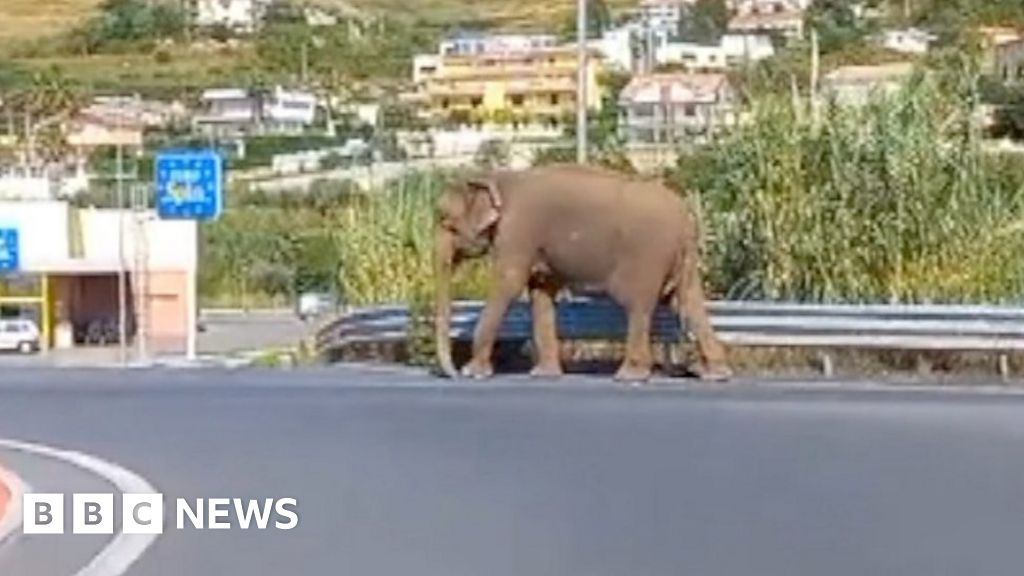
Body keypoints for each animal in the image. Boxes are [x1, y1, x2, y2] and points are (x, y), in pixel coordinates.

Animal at [432, 163, 729, 381]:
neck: (498, 177)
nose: (453, 373)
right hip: (685, 258)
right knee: (689, 301)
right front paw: (544, 375)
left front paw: (474, 373)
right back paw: (715, 374)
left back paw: (629, 375)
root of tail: (686, 218)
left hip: (647, 256)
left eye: (445, 221)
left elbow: (509, 283)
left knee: (638, 305)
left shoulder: (518, 233)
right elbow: (541, 292)